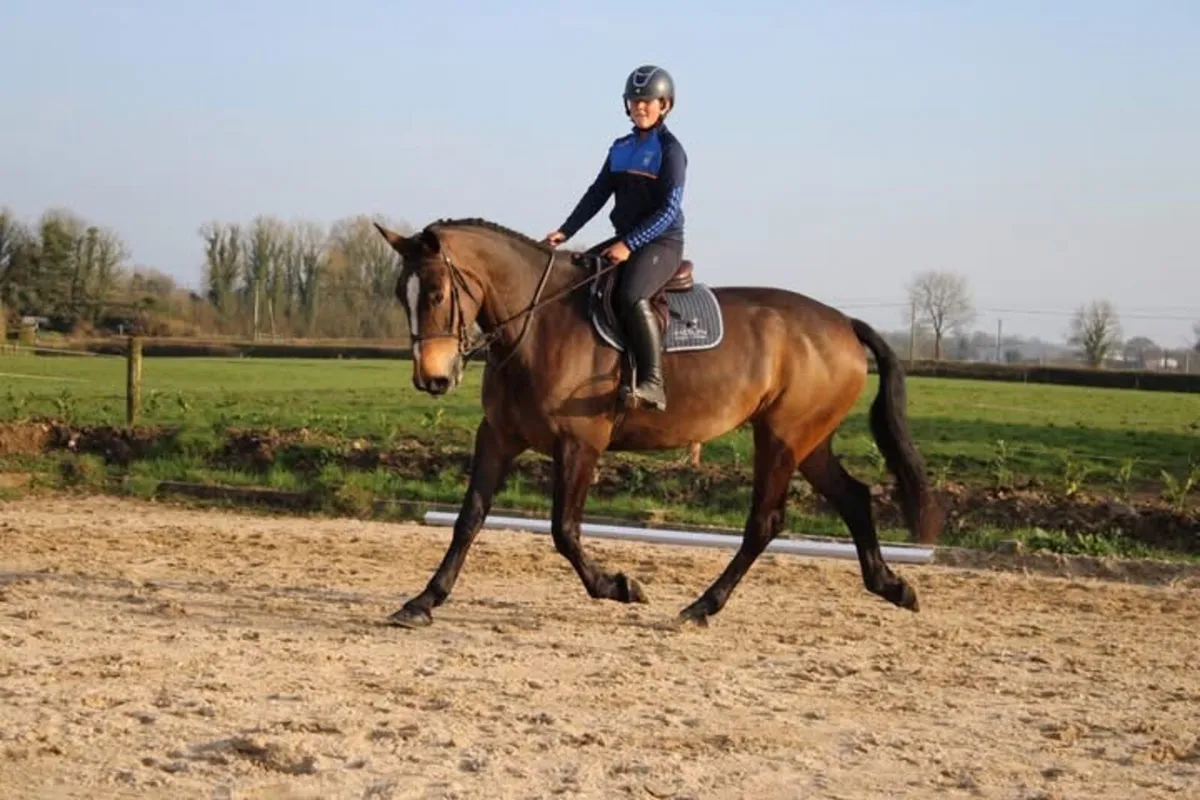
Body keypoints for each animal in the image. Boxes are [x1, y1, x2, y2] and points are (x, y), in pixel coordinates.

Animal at [373, 217, 944, 628]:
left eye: (436, 294)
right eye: (403, 294)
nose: (433, 379)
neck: (537, 326)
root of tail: (842, 323)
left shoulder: (580, 443)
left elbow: (563, 531)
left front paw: (620, 587)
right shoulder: (497, 437)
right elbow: (469, 518)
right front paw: (422, 601)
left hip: (783, 437)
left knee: (765, 522)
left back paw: (701, 607)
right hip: (810, 440)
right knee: (854, 498)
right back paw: (892, 586)